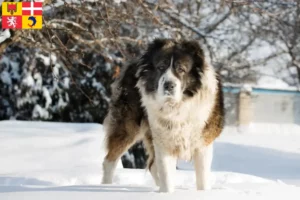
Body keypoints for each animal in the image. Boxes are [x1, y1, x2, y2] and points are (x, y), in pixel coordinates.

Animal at [102, 38, 224, 193]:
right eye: (160, 67)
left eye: (181, 69)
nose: (169, 85)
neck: (176, 107)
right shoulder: (163, 142)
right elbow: (166, 174)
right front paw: (166, 193)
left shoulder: (203, 144)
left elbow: (202, 179)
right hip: (127, 127)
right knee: (110, 161)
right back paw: (104, 186)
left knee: (152, 166)